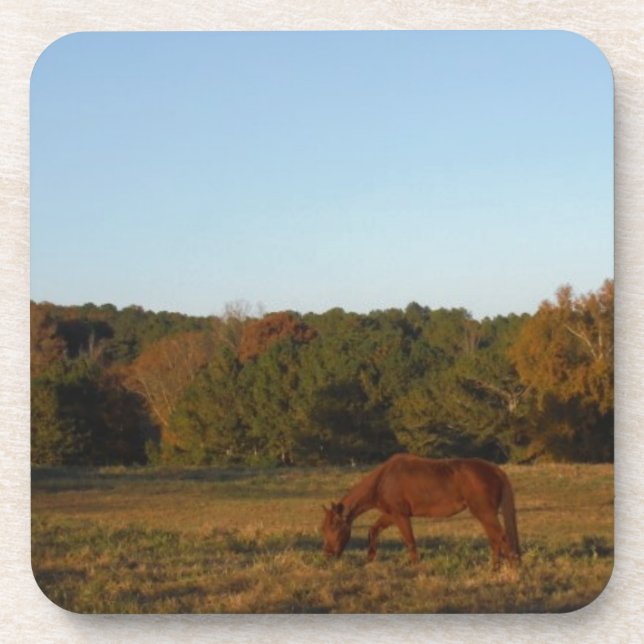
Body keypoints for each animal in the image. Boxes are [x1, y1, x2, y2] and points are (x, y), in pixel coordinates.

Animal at [321, 453, 520, 567]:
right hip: (485, 515)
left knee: (502, 537)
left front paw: (415, 566)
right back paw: (494, 567)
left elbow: (410, 541)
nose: (328, 554)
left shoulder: (400, 515)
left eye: (336, 527)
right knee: (495, 539)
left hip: (484, 513)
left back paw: (511, 568)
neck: (383, 479)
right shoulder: (391, 514)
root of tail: (496, 470)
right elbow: (373, 530)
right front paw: (369, 559)